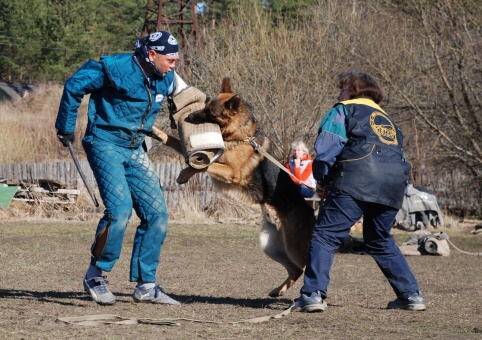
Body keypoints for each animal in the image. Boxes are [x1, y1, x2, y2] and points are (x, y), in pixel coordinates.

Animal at [157, 78, 316, 296]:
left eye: (210, 112)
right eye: (205, 105)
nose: (189, 117)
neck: (239, 135)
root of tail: (312, 212)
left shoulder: (231, 172)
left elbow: (204, 165)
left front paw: (183, 174)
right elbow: (174, 142)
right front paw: (155, 132)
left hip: (293, 247)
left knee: (308, 267)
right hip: (272, 246)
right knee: (296, 270)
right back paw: (278, 291)